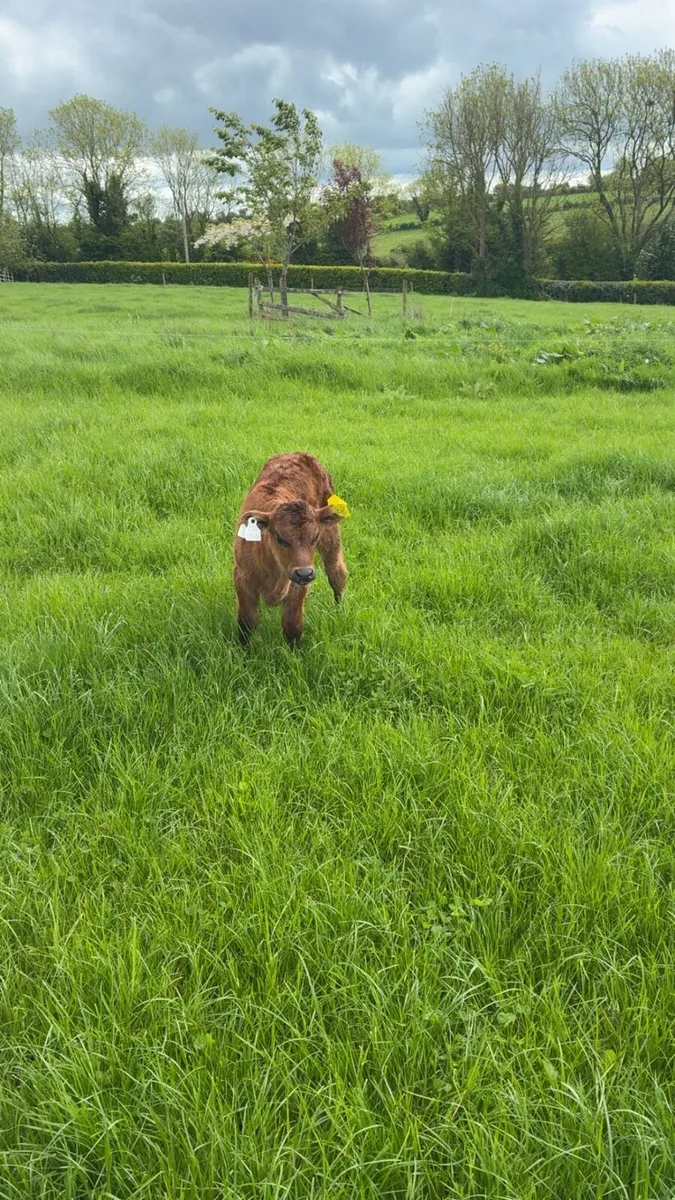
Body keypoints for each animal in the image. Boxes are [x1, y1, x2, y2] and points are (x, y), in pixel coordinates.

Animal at [234, 453, 349, 647]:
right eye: (280, 538)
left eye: (314, 537)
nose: (304, 573)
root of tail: (299, 454)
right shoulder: (242, 579)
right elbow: (247, 622)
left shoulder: (299, 586)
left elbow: (292, 626)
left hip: (331, 538)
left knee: (337, 573)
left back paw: (338, 611)